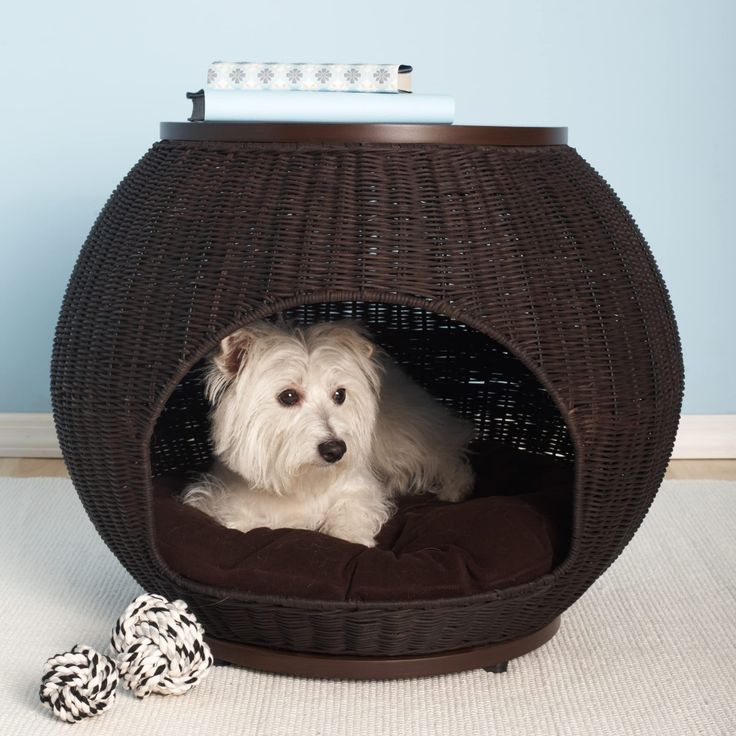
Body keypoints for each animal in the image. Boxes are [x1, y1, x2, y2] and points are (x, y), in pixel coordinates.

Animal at [181, 320, 474, 548]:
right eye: (288, 396)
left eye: (340, 394)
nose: (336, 450)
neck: (300, 482)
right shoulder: (223, 501)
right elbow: (238, 521)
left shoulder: (357, 488)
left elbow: (352, 511)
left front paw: (352, 538)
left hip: (404, 437)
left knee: (446, 450)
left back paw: (453, 489)